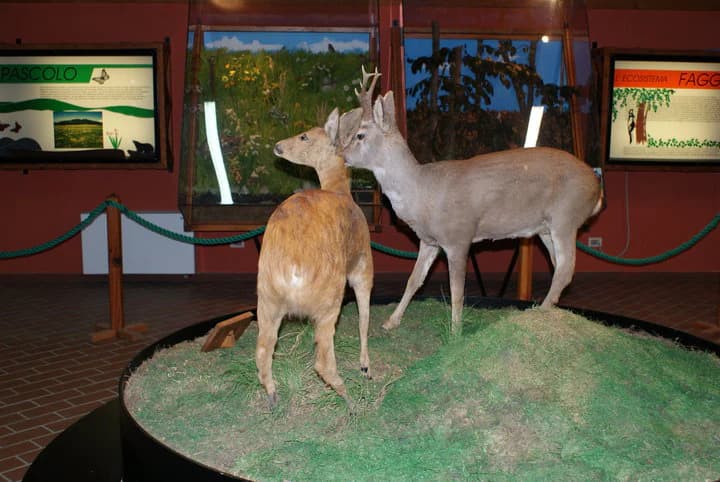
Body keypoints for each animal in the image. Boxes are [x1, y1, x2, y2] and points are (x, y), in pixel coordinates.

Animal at [255, 106, 372, 408]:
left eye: (304, 136)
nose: (278, 145)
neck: (339, 190)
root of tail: (292, 270)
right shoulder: (363, 263)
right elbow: (364, 318)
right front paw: (366, 367)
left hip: (266, 298)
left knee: (262, 350)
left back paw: (272, 395)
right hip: (329, 298)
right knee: (323, 361)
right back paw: (351, 401)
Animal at [343, 67, 603, 335]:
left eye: (359, 135)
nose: (341, 154)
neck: (421, 192)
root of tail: (596, 186)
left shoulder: (458, 237)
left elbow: (456, 288)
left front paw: (455, 331)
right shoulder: (429, 240)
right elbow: (414, 280)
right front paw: (391, 321)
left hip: (566, 217)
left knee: (566, 269)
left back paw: (537, 314)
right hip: (545, 228)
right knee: (557, 265)